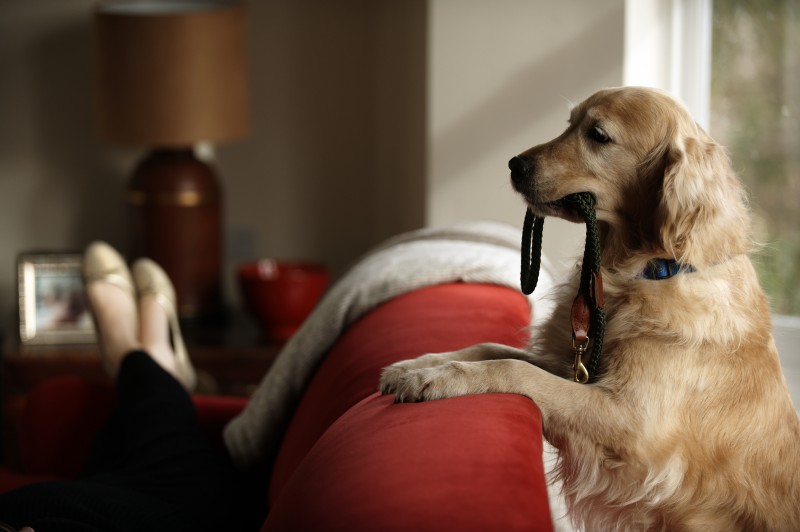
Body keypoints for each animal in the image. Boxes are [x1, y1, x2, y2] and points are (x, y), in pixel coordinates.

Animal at [382, 85, 800, 528]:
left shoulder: (632, 422)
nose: (514, 165)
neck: (642, 272)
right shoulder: (578, 367)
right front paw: (417, 366)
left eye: (598, 135)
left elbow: (513, 368)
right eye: (569, 124)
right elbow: (491, 348)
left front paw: (437, 379)